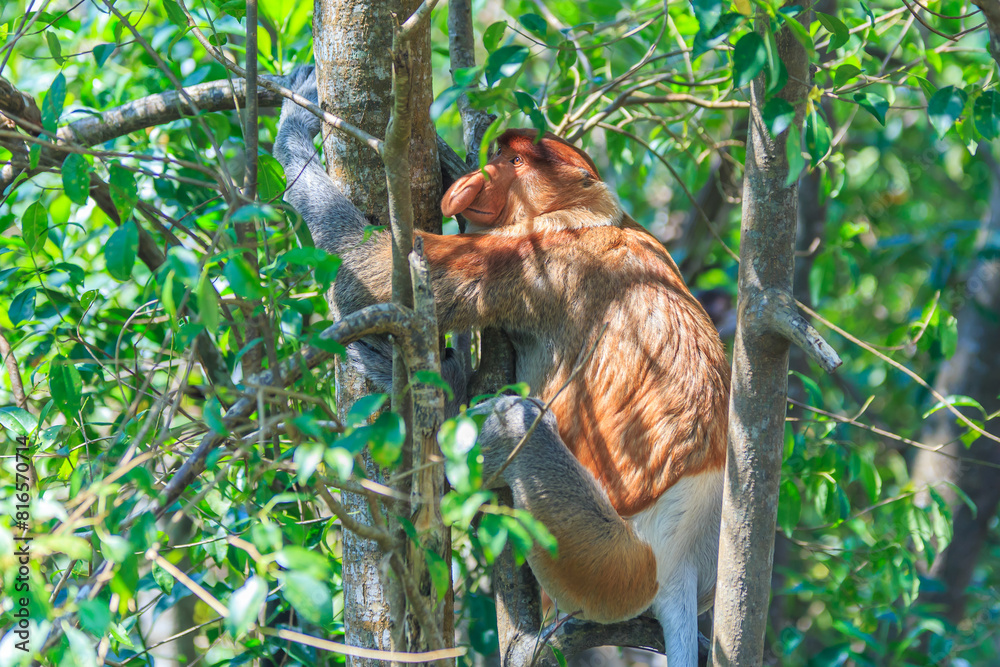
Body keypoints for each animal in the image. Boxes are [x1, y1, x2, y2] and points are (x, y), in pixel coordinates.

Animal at [273, 67, 730, 666]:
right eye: (498, 154)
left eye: (515, 164)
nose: (476, 181)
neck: (587, 217)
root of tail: (678, 571)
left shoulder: (527, 258)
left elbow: (375, 270)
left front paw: (295, 125)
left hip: (601, 561)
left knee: (516, 424)